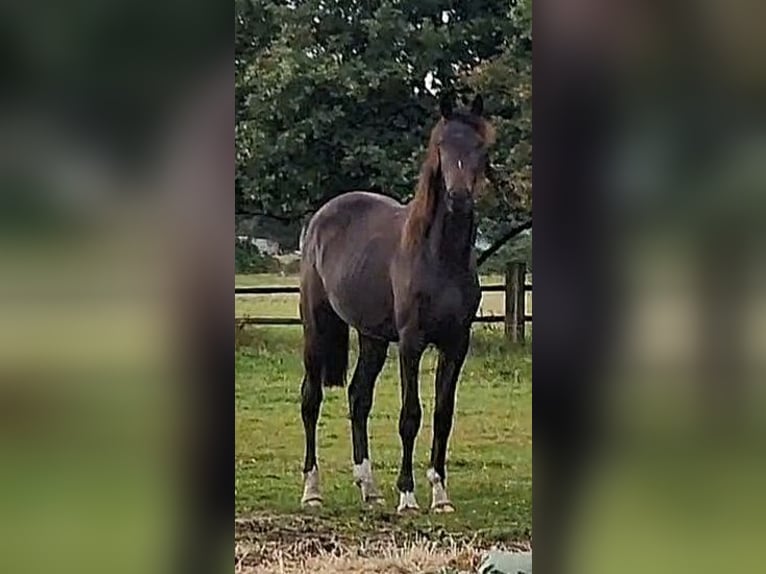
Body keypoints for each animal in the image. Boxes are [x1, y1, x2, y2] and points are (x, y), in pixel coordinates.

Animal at [296, 97, 496, 516]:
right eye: (442, 146)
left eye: (479, 147)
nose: (458, 198)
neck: (439, 257)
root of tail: (322, 217)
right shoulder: (411, 342)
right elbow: (410, 416)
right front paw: (407, 495)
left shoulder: (456, 344)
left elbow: (443, 414)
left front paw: (440, 495)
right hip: (316, 326)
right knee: (311, 398)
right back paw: (312, 490)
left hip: (371, 337)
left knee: (358, 397)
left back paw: (368, 488)